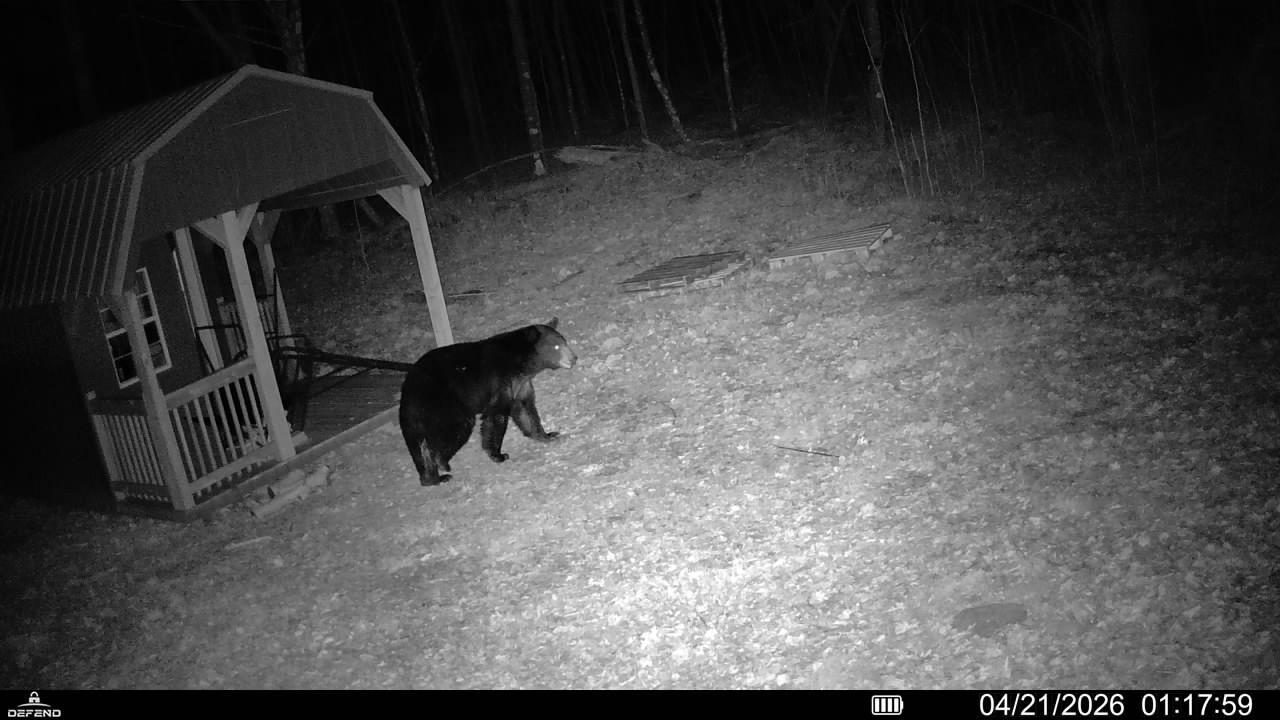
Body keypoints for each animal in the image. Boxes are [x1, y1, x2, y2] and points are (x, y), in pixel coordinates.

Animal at [398, 318, 577, 486]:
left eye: (565, 341)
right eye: (556, 346)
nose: (574, 358)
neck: (518, 362)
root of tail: (407, 387)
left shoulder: (520, 384)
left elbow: (525, 410)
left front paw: (548, 435)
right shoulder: (499, 381)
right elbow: (496, 416)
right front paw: (498, 455)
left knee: (420, 444)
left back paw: (432, 476)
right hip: (444, 405)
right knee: (453, 431)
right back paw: (441, 465)